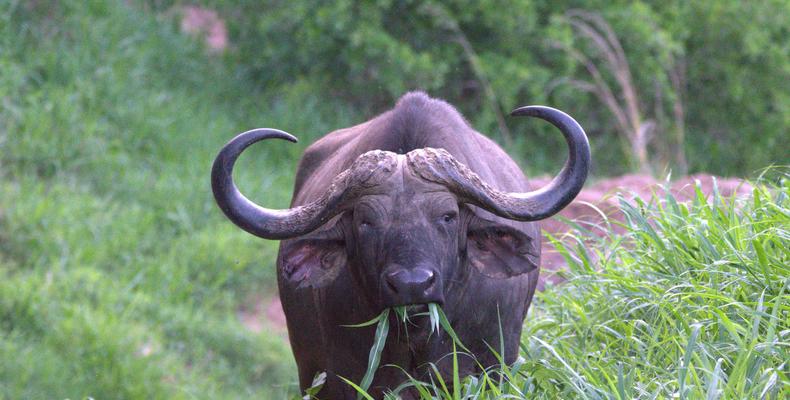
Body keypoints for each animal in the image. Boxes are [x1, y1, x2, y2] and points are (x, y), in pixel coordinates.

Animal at [211, 92, 590, 398]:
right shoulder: (340, 376)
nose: (413, 284)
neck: (416, 334)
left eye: (448, 216)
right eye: (365, 222)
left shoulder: (489, 366)